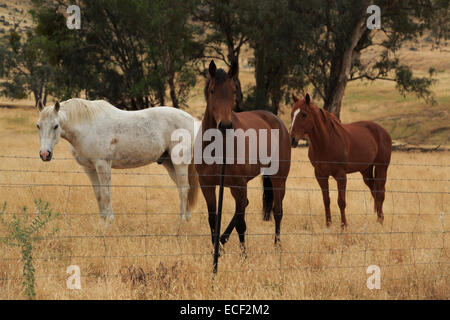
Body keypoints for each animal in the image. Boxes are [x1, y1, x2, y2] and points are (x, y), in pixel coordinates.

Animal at [37, 99, 200, 224]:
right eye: (38, 125)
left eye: (56, 126)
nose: (45, 154)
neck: (87, 127)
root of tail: (192, 120)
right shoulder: (89, 168)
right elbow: (98, 193)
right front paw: (101, 221)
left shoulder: (103, 165)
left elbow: (106, 192)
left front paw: (109, 221)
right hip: (169, 163)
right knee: (182, 188)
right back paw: (186, 218)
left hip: (179, 163)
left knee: (184, 188)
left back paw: (181, 221)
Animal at [197, 60, 292, 252]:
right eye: (212, 91)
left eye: (234, 91)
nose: (225, 125)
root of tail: (277, 121)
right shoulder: (207, 185)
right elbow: (213, 219)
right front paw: (215, 249)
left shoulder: (238, 185)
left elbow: (242, 223)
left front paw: (243, 255)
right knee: (246, 205)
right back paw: (223, 240)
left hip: (278, 179)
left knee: (278, 211)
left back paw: (277, 246)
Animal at [290, 92, 392, 228]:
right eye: (292, 114)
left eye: (304, 114)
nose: (292, 139)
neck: (326, 142)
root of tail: (383, 131)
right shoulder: (320, 175)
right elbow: (326, 200)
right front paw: (328, 225)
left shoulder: (341, 175)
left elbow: (341, 201)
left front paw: (344, 226)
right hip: (366, 171)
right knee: (375, 192)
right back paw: (379, 220)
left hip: (382, 168)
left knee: (380, 194)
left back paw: (380, 222)